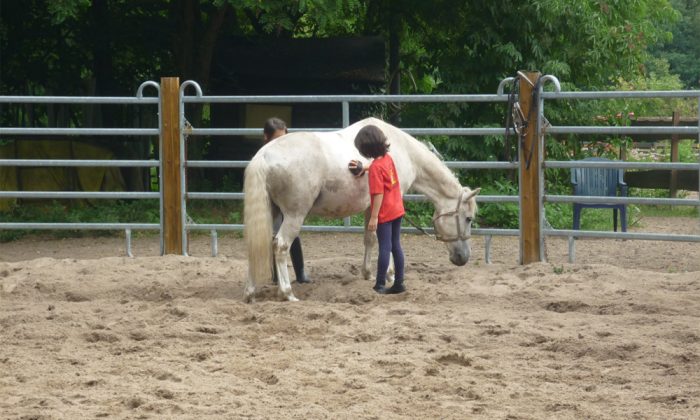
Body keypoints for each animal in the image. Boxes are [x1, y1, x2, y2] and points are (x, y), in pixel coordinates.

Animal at [243, 117, 478, 302]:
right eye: (468, 218)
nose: (463, 257)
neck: (400, 150)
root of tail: (264, 156)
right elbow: (387, 240)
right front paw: (390, 275)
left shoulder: (371, 207)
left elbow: (370, 238)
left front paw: (368, 273)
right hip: (294, 215)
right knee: (281, 246)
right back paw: (287, 293)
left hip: (271, 213)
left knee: (258, 246)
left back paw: (250, 292)